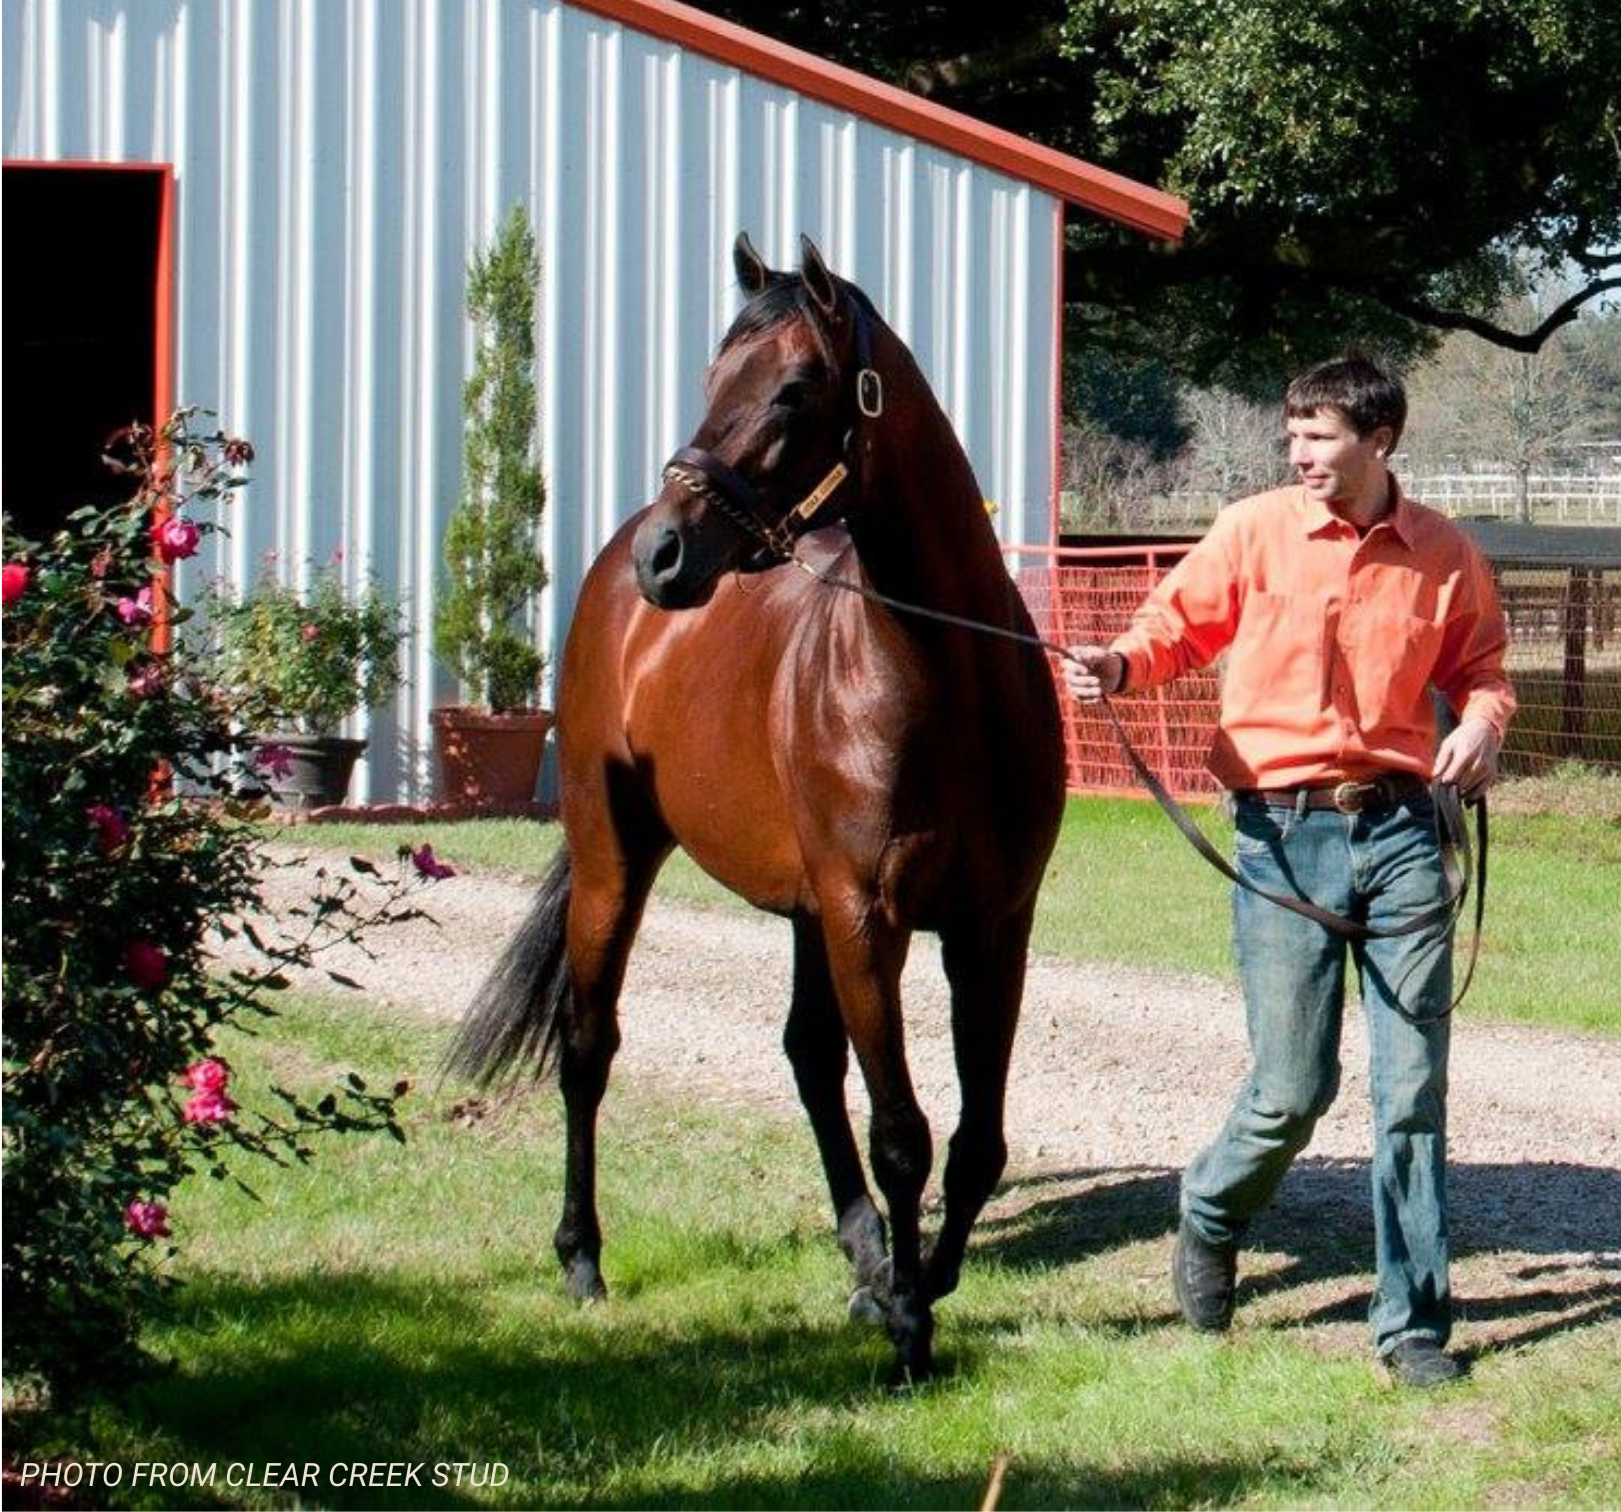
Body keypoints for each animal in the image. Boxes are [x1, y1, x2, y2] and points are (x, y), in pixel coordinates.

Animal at [449, 233, 1066, 1382]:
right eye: (709, 381)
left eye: (791, 389)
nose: (666, 554)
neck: (944, 676)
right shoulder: (868, 920)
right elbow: (903, 1132)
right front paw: (911, 1330)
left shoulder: (991, 927)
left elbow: (977, 1139)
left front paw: (917, 1281)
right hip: (617, 861)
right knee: (588, 1043)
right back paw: (583, 1258)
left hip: (803, 911)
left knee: (808, 1059)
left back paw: (864, 1258)